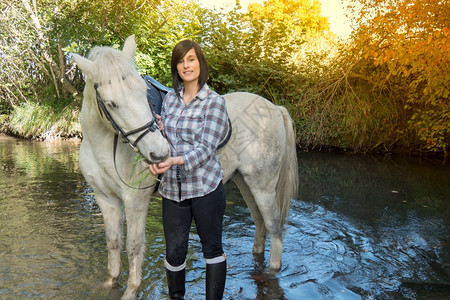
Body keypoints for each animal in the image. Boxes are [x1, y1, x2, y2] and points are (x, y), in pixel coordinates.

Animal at [72, 34, 298, 298]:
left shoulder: (135, 200)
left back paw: (271, 271)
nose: (159, 153)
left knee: (274, 227)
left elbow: (134, 245)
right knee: (260, 221)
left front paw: (131, 290)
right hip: (245, 182)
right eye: (112, 103)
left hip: (263, 187)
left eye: (143, 92)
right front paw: (110, 284)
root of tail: (274, 109)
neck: (103, 146)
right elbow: (113, 242)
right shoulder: (105, 198)